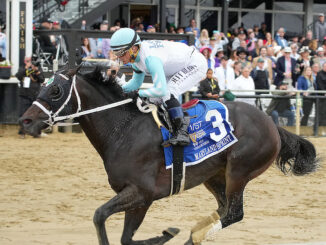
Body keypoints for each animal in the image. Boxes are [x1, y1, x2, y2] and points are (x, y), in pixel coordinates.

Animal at [19, 66, 318, 244]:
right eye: (41, 85)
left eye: (55, 90)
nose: (25, 121)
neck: (123, 130)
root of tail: (272, 125)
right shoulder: (136, 199)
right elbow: (124, 236)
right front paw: (167, 231)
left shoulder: (143, 193)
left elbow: (100, 216)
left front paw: (168, 232)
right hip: (215, 175)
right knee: (224, 210)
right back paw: (195, 232)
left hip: (239, 171)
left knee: (234, 213)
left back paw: (194, 236)